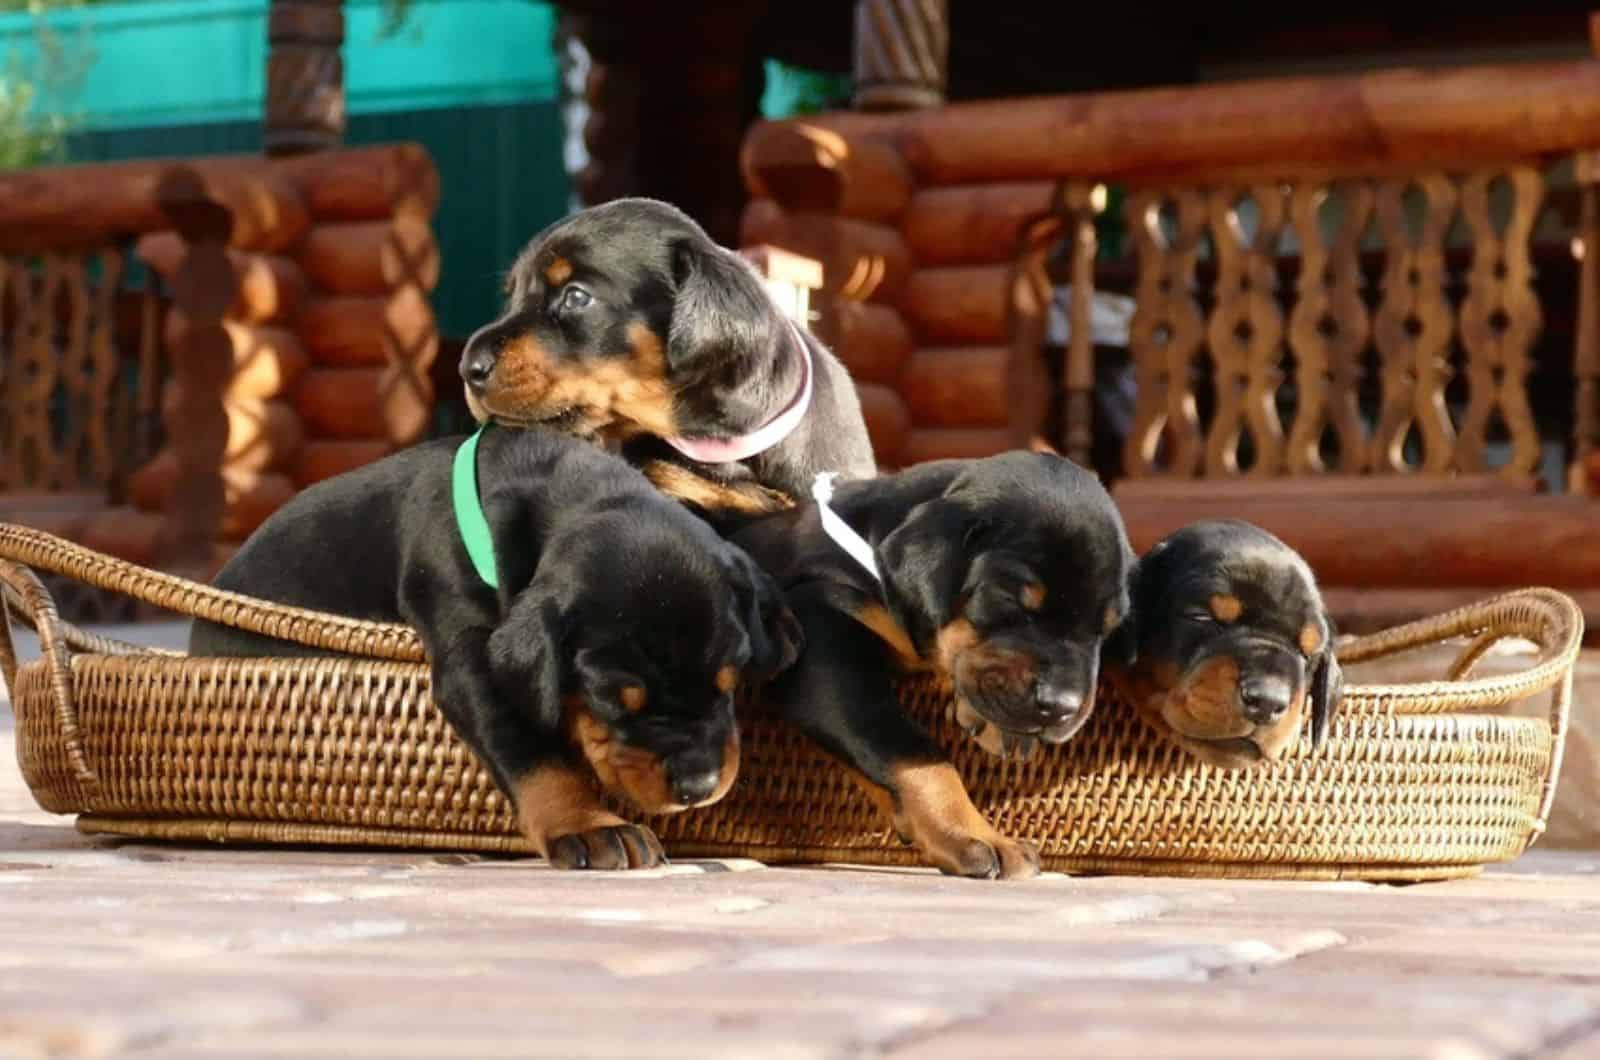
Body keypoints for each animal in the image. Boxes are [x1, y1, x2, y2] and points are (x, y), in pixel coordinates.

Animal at [190, 422, 800, 871]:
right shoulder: (471, 653)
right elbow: (528, 747)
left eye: (729, 682)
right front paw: (588, 825)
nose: (699, 785)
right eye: (610, 699)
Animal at [732, 454, 1132, 877]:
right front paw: (973, 832)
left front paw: (997, 727)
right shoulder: (820, 622)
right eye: (1008, 599)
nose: (1061, 706)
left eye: (1108, 627)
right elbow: (907, 747)